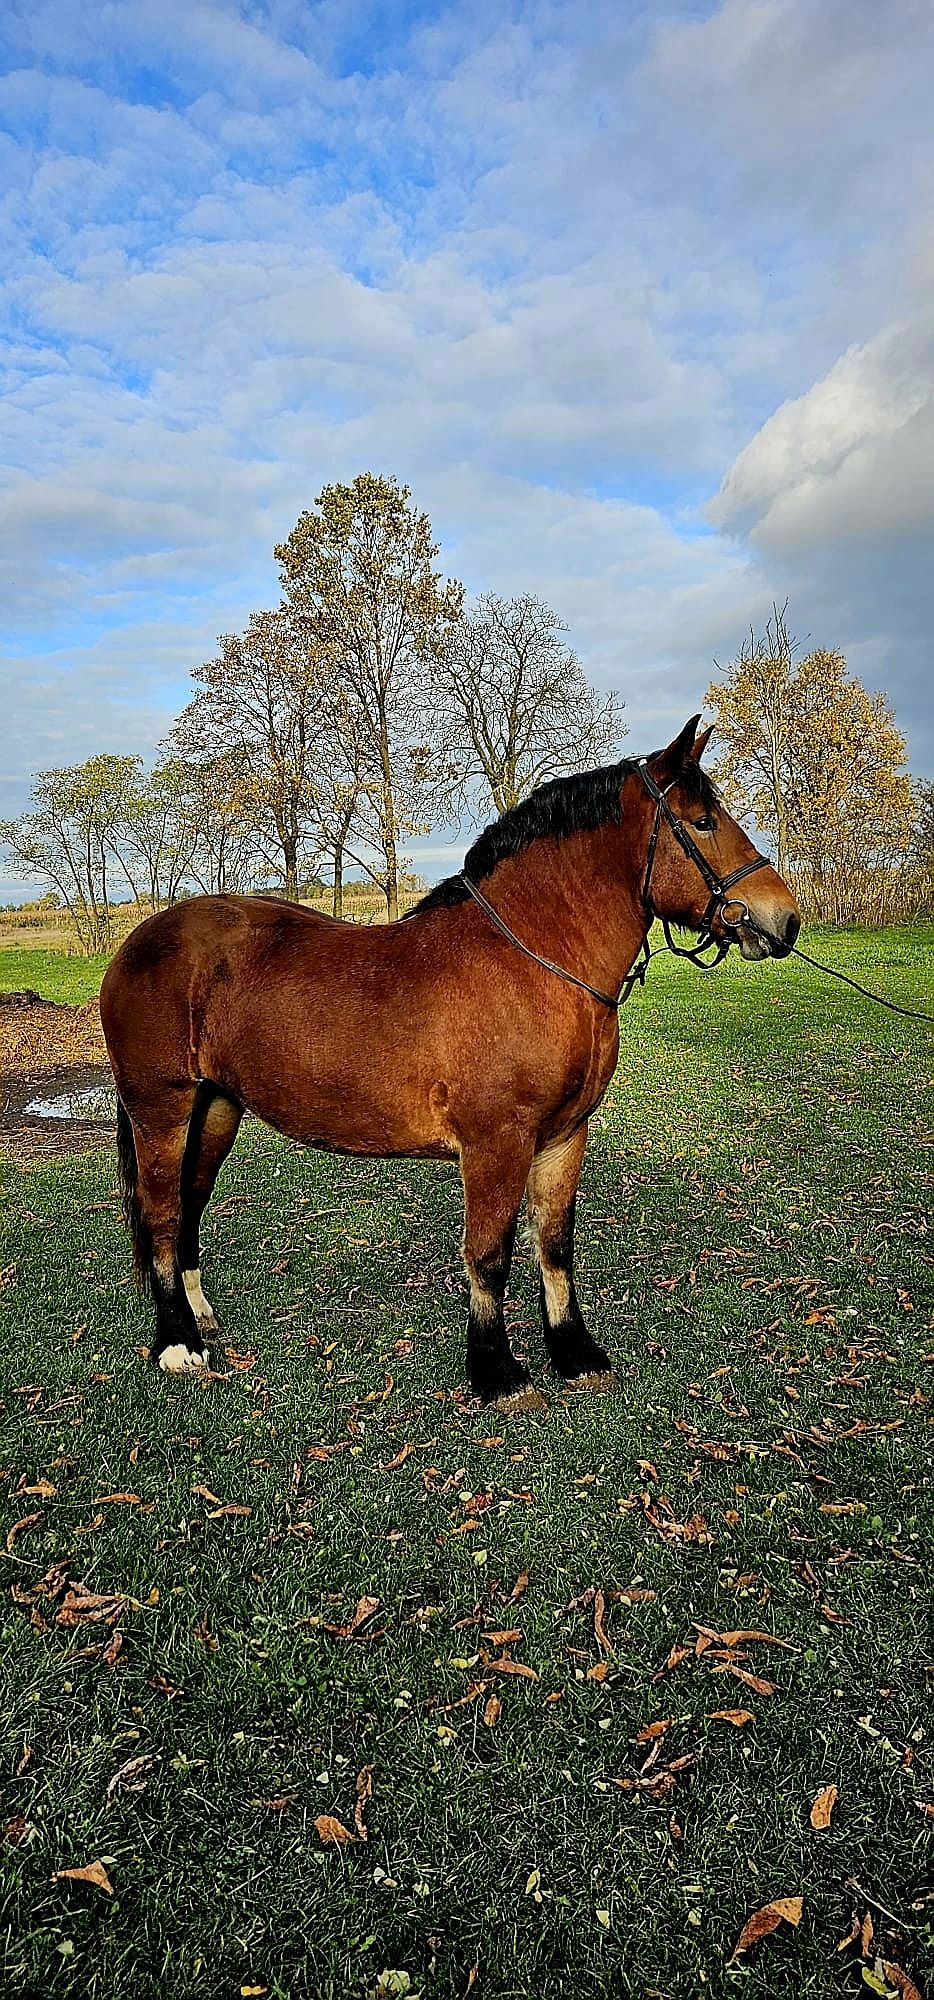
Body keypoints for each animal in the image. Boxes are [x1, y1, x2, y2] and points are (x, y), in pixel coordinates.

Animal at [104, 720, 804, 1408]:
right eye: (703, 821)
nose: (786, 919)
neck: (532, 958)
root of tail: (139, 942)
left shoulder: (563, 1138)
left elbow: (555, 1245)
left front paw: (573, 1354)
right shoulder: (497, 1141)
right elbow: (490, 1253)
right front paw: (497, 1371)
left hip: (216, 1107)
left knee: (189, 1204)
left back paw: (199, 1319)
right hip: (162, 1109)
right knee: (162, 1212)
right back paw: (178, 1344)